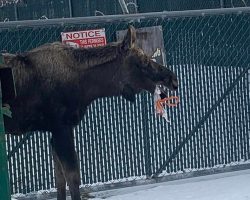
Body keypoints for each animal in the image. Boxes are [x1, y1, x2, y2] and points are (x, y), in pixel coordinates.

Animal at [1, 25, 178, 200]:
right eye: (143, 61)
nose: (173, 79)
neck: (87, 87)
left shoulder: (56, 131)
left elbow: (60, 178)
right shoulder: (61, 127)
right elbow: (73, 176)